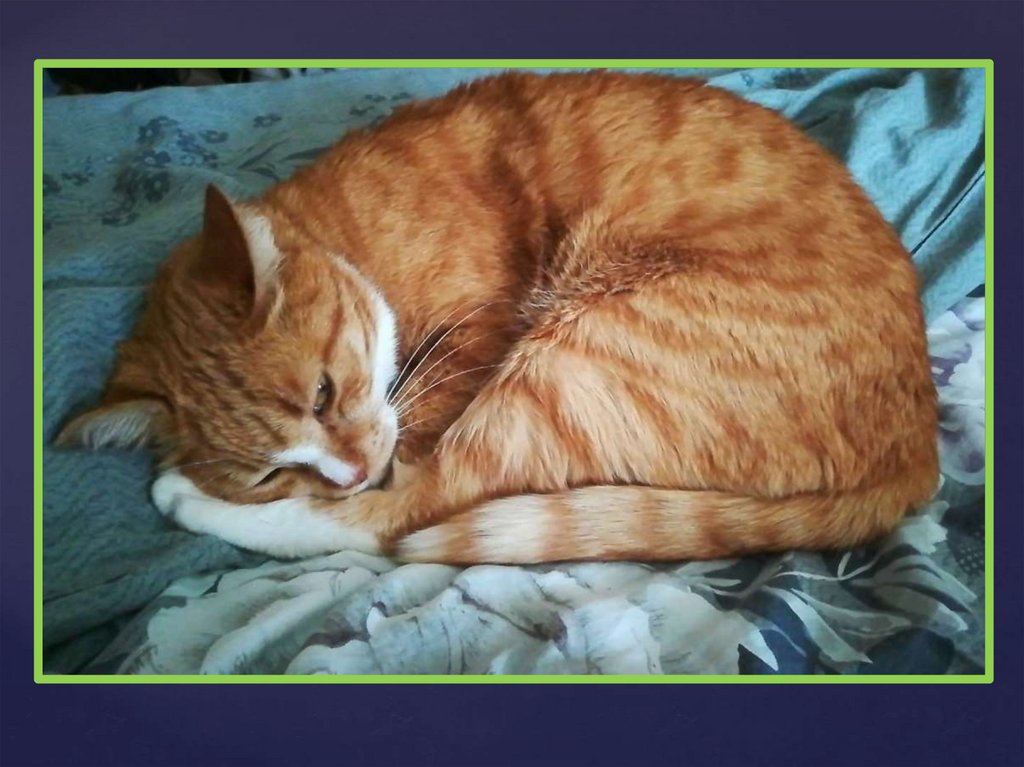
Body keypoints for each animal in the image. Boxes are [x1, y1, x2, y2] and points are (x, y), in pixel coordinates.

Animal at [57, 70, 940, 564]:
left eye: (323, 393)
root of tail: (918, 453)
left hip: (571, 358)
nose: (348, 469)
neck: (356, 236)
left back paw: (184, 499)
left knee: (399, 519)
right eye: (269, 471)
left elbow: (399, 479)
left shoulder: (477, 337)